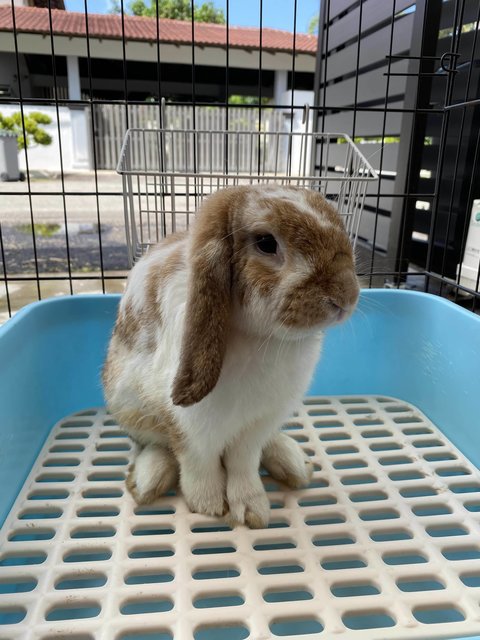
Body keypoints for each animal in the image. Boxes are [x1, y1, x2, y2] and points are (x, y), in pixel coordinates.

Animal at [105, 182, 360, 528]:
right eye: (266, 243)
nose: (345, 295)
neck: (261, 338)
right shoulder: (192, 427)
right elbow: (200, 463)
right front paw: (209, 505)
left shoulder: (258, 425)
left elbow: (244, 464)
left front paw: (253, 510)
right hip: (128, 409)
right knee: (155, 443)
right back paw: (148, 479)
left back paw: (292, 462)